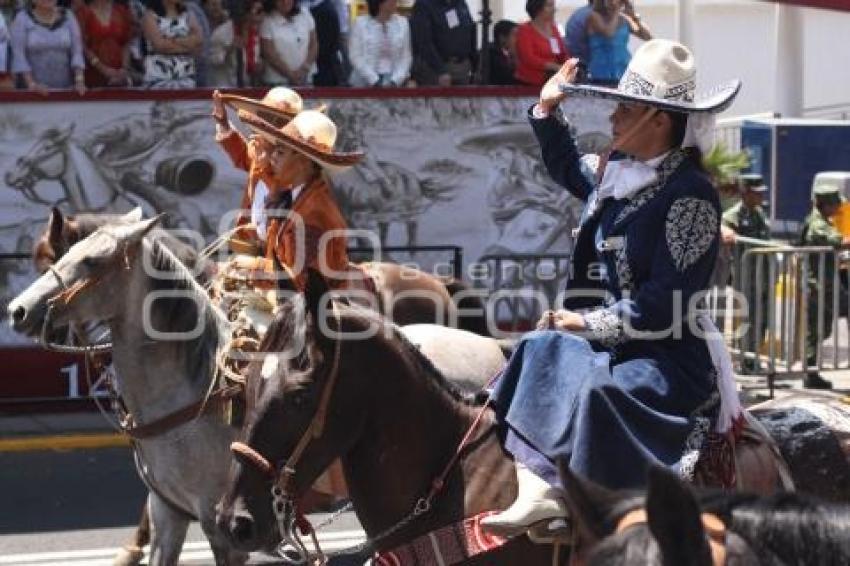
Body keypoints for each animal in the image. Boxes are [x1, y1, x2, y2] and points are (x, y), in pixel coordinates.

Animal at [9, 217, 506, 566]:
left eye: (91, 262)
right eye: (67, 253)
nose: (18, 310)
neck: (186, 394)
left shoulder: (223, 529)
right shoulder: (169, 512)